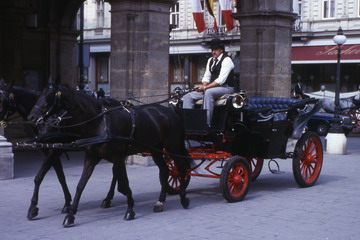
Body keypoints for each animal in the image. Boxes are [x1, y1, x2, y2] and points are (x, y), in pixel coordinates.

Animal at [0, 85, 121, 221]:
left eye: (2, 101)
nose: (32, 118)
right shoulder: (51, 150)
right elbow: (60, 176)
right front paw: (67, 203)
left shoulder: (55, 150)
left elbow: (39, 177)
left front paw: (33, 207)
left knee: (116, 170)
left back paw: (108, 198)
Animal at [27, 84, 194, 227]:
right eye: (39, 95)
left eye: (48, 97)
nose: (31, 118)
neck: (100, 122)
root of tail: (171, 111)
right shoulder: (91, 157)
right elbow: (81, 185)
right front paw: (70, 214)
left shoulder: (118, 156)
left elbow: (124, 182)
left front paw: (130, 209)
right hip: (155, 149)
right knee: (165, 171)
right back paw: (160, 201)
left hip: (172, 146)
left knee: (181, 167)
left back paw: (183, 196)